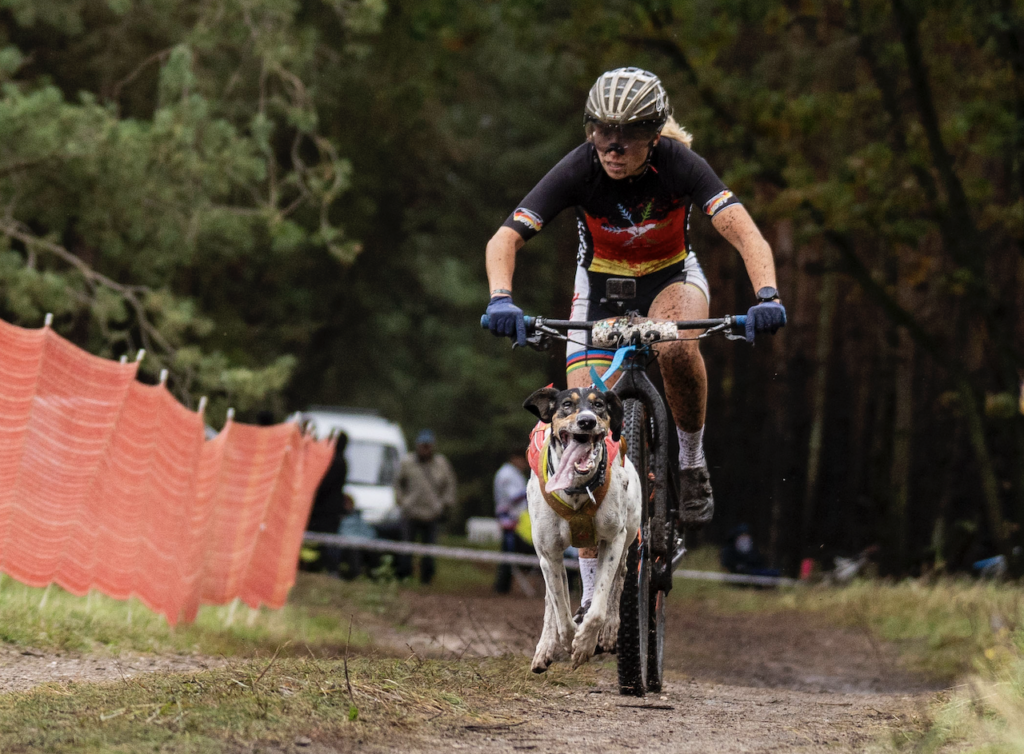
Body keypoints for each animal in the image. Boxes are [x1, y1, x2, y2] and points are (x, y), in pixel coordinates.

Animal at [524, 389, 643, 672]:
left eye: (598, 405)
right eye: (567, 405)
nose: (587, 421)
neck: (577, 488)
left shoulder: (613, 539)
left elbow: (597, 608)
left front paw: (586, 644)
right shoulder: (550, 554)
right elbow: (561, 612)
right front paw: (568, 642)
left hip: (630, 528)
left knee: (620, 575)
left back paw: (609, 630)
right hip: (543, 552)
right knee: (550, 599)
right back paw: (545, 647)